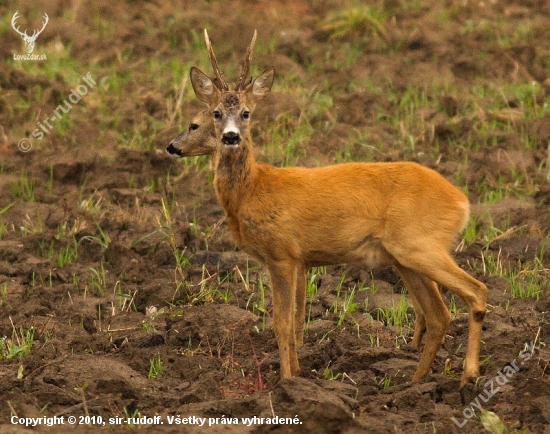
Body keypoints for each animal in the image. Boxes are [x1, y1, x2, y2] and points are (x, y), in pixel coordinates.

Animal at [170, 29, 490, 386]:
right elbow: (297, 322)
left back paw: (468, 375)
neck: (252, 190)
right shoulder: (300, 259)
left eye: (246, 113)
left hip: (419, 244)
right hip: (405, 257)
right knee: (438, 314)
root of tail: (460, 201)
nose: (229, 137)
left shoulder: (281, 253)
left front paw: (287, 381)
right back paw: (414, 381)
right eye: (214, 113)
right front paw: (298, 372)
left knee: (475, 291)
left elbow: (282, 322)